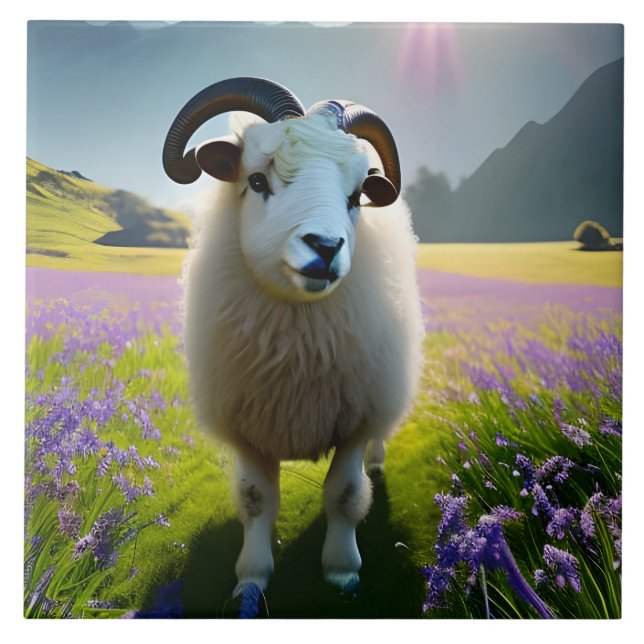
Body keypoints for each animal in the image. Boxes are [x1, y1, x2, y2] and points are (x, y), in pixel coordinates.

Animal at [163, 77, 424, 601]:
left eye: (356, 196)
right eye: (257, 181)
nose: (325, 247)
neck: (296, 351)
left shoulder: (355, 421)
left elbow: (344, 495)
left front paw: (342, 572)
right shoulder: (246, 427)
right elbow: (256, 499)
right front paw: (251, 578)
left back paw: (378, 462)